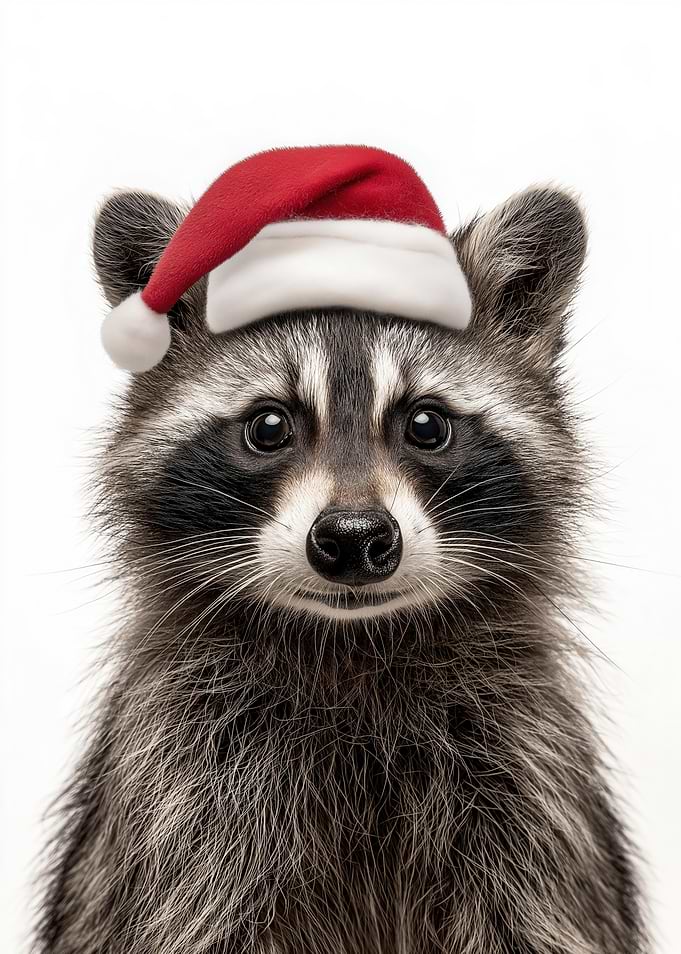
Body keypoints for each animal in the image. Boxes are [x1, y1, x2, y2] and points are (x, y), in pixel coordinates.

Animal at [36, 185, 648, 953]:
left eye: (426, 424)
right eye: (269, 426)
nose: (354, 539)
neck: (352, 648)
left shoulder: (528, 779)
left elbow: (541, 911)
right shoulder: (184, 793)